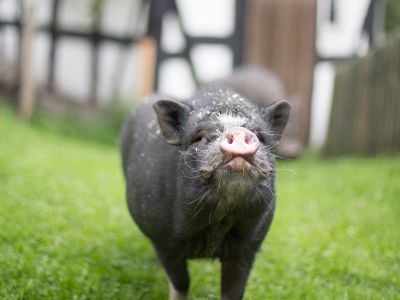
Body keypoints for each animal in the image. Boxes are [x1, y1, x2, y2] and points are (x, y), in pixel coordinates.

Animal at [119, 85, 290, 300]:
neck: (220, 219)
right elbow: (181, 283)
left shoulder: (248, 246)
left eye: (260, 136)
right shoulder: (164, 243)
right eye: (200, 137)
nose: (238, 132)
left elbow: (233, 290)